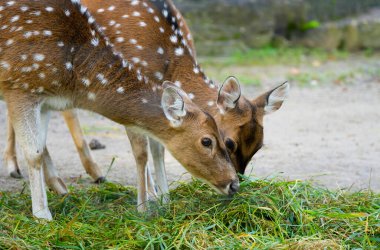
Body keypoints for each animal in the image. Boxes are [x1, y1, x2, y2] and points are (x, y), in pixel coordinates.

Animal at [0, 0, 238, 219]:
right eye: (206, 141)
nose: (234, 184)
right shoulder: (20, 86)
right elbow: (34, 153)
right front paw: (43, 216)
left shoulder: (47, 99)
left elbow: (41, 146)